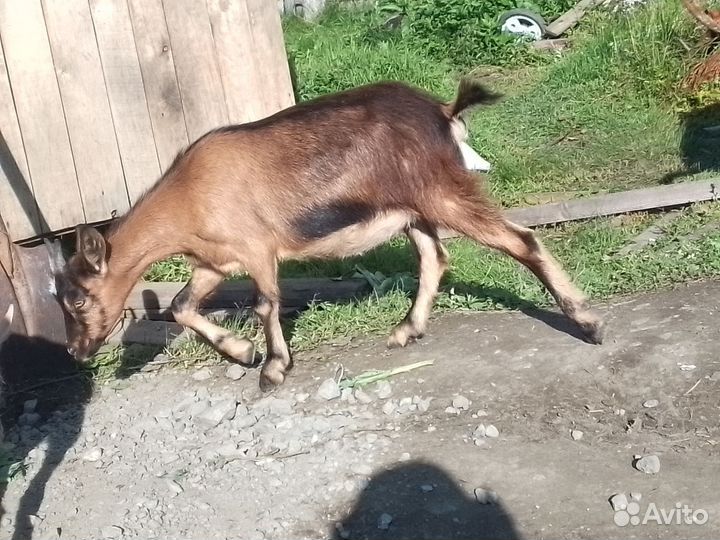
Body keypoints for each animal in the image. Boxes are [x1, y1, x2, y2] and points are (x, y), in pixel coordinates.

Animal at [56, 77, 605, 391]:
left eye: (78, 299)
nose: (74, 352)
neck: (189, 195)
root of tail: (445, 113)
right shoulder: (215, 261)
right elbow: (179, 306)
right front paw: (242, 351)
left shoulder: (258, 249)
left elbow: (265, 304)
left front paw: (273, 368)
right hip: (413, 210)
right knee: (434, 258)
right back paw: (407, 330)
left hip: (443, 193)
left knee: (520, 240)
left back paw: (587, 322)